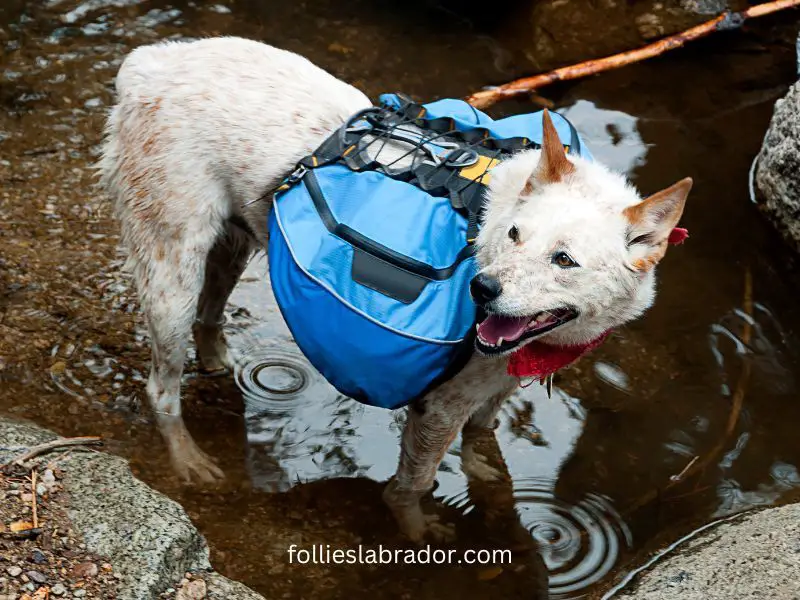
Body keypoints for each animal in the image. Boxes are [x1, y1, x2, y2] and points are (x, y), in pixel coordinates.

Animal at [98, 37, 688, 544]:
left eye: (564, 259)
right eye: (516, 235)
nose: (482, 288)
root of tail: (149, 65)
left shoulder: (497, 383)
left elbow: (484, 432)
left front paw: (484, 470)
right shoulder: (439, 405)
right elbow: (415, 481)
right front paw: (415, 529)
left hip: (234, 242)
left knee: (211, 311)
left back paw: (218, 360)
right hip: (171, 265)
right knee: (162, 386)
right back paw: (189, 459)